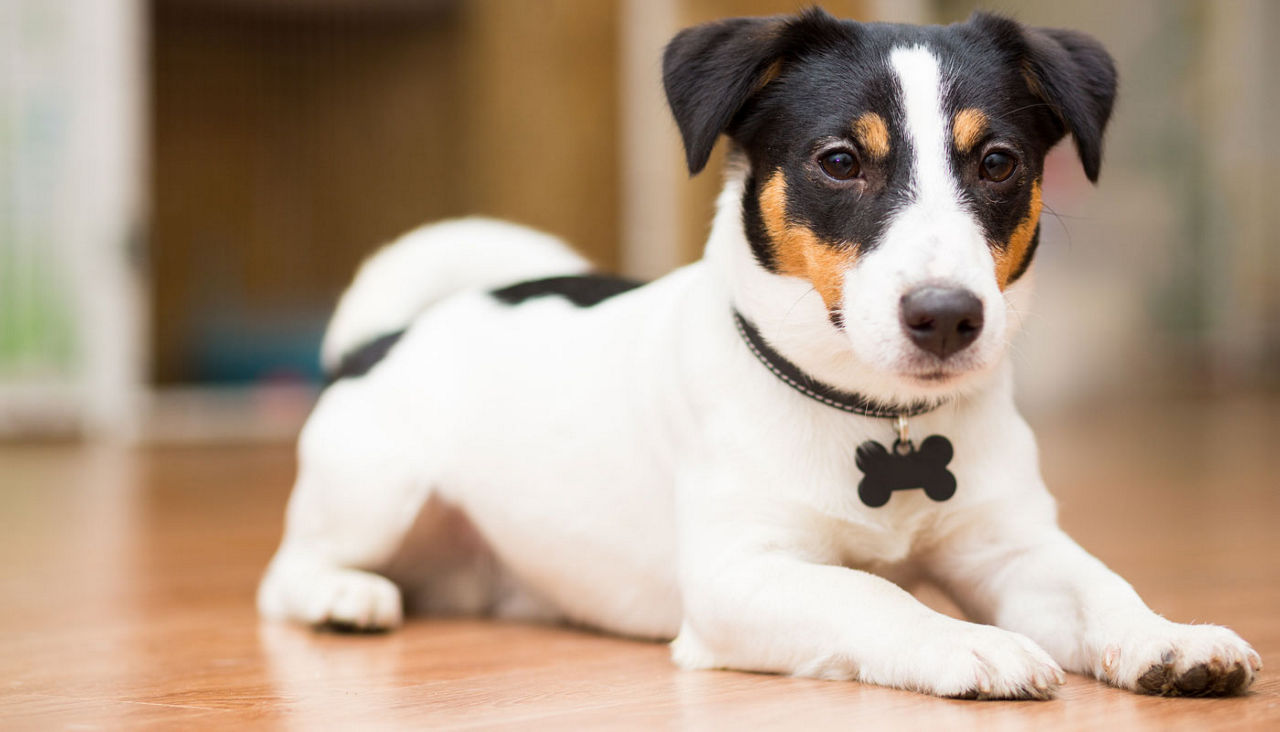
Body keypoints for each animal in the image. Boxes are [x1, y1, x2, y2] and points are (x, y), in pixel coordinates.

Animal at [259, 9, 1259, 696]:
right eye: (840, 161)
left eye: (999, 163)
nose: (947, 317)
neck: (879, 420)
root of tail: (383, 336)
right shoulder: (740, 578)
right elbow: (874, 596)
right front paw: (963, 641)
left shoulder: (1014, 548)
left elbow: (1100, 587)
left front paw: (1168, 636)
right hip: (377, 493)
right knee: (286, 577)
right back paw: (344, 597)